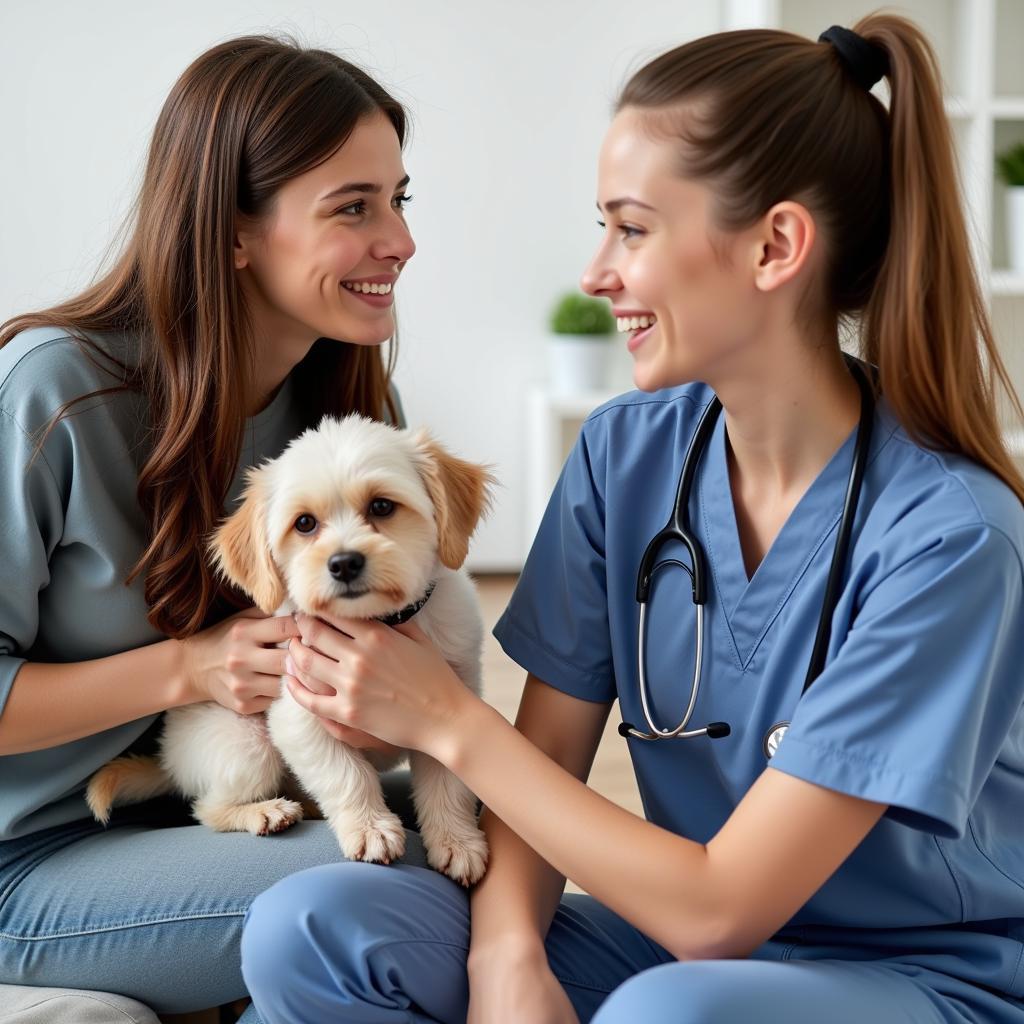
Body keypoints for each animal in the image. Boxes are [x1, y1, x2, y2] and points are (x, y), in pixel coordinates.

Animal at [86, 411, 493, 884]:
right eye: (304, 524)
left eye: (382, 507)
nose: (344, 563)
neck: (376, 624)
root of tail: (169, 761)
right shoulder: (298, 717)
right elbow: (347, 773)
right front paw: (370, 827)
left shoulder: (445, 709)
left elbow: (448, 782)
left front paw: (456, 840)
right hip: (248, 743)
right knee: (208, 809)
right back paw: (264, 812)